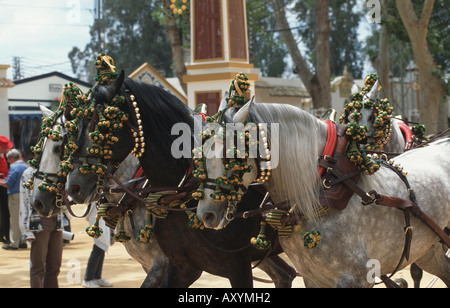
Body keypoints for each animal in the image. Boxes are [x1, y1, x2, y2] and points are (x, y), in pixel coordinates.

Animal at [197, 100, 450, 288]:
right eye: (202, 153)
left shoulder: (356, 278)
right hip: (428, 249)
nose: (205, 214)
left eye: (232, 155)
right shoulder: (313, 278)